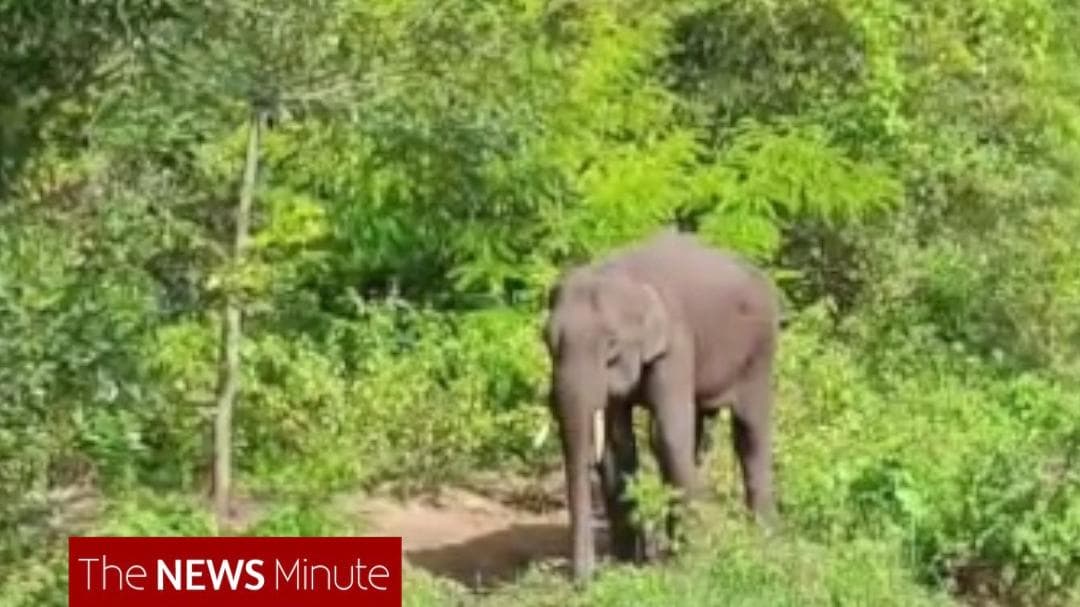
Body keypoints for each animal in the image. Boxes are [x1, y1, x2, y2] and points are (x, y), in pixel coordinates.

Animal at [541, 230, 781, 583]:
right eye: (546, 341)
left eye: (611, 346)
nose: (583, 582)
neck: (623, 275)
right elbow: (617, 445)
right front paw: (629, 562)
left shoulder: (676, 345)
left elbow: (667, 435)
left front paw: (687, 565)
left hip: (761, 350)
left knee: (750, 432)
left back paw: (763, 540)